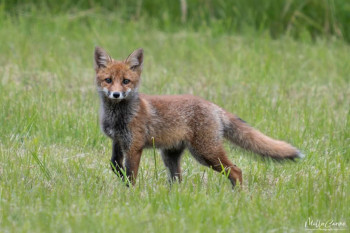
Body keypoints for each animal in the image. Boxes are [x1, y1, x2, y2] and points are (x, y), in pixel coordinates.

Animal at [93, 46, 304, 187]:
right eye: (108, 80)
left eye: (126, 81)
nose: (116, 94)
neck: (118, 116)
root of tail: (213, 106)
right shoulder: (118, 141)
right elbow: (115, 165)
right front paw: (122, 183)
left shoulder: (134, 146)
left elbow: (131, 175)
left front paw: (130, 193)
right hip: (171, 155)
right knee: (178, 179)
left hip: (205, 153)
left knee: (236, 170)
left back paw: (238, 196)